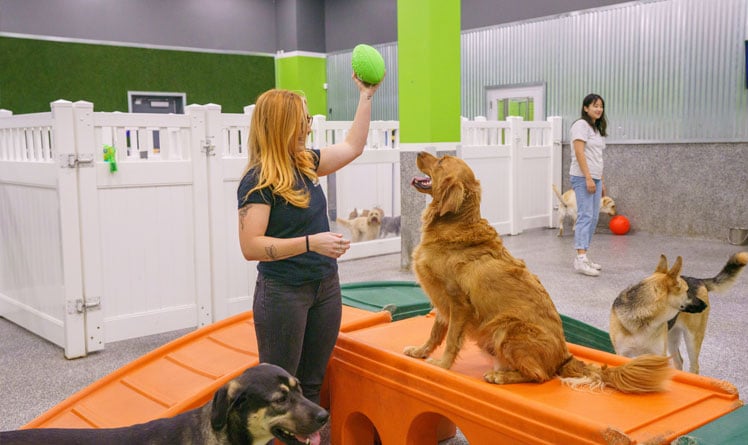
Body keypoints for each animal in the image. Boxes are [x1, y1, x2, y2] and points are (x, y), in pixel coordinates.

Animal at [406, 152, 668, 392]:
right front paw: (420, 351)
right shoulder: (442, 300)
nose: (418, 152)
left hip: (507, 329)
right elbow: (435, 333)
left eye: (441, 161)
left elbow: (451, 339)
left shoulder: (458, 302)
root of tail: (564, 357)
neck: (456, 222)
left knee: (540, 375)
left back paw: (500, 376)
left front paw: (441, 365)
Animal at [612, 251, 744, 372]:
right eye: (687, 291)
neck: (643, 318)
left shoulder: (658, 355)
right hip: (672, 338)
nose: (704, 305)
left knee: (694, 366)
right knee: (679, 362)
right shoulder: (623, 354)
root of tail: (699, 280)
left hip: (692, 341)